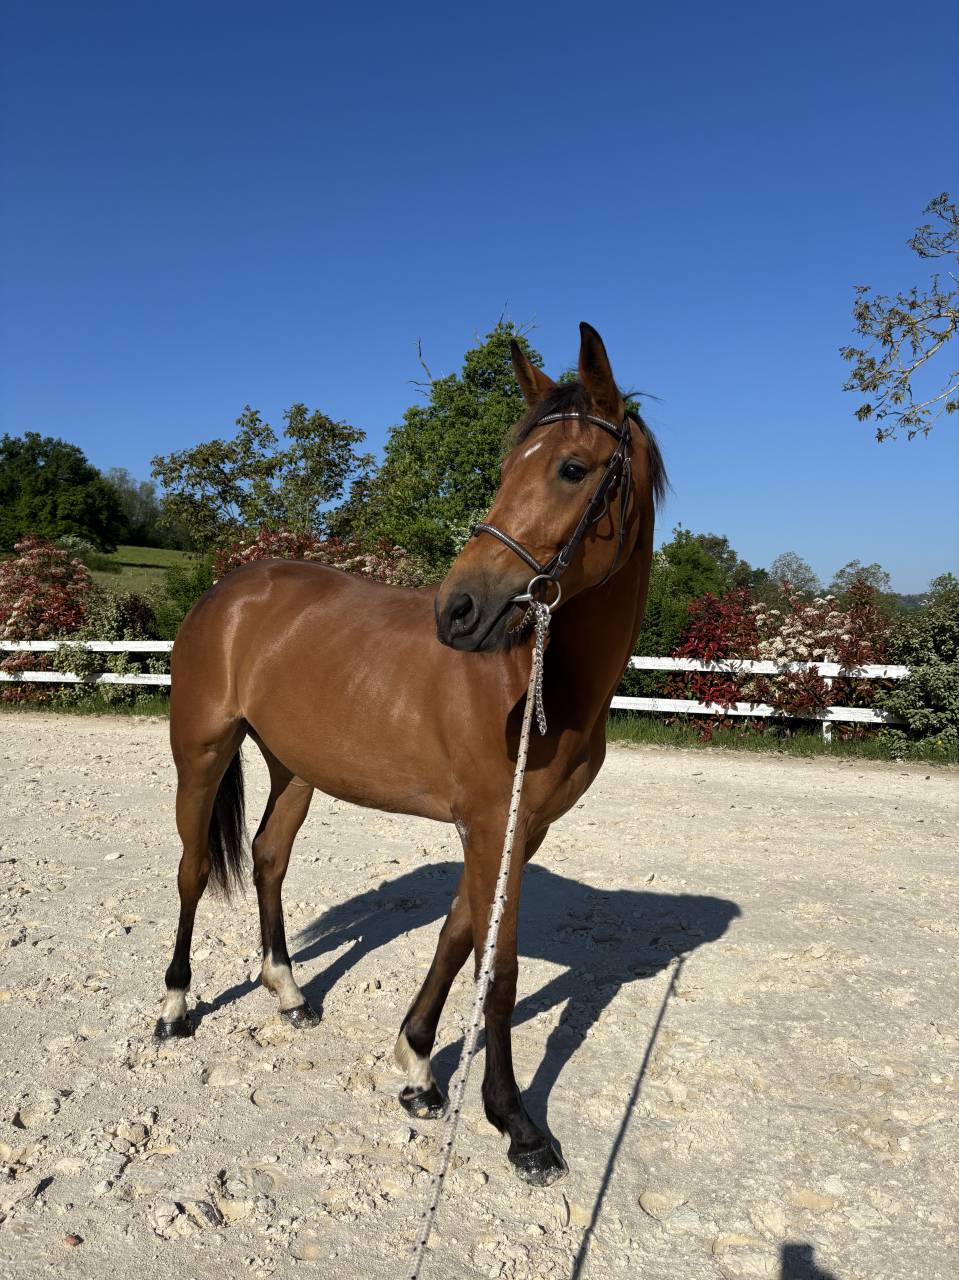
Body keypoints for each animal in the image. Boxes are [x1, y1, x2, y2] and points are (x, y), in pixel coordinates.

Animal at [156, 322, 667, 1186]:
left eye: (571, 467)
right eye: (505, 468)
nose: (458, 609)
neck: (537, 678)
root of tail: (230, 593)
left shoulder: (513, 830)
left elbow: (458, 936)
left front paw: (418, 1067)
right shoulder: (491, 827)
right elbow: (499, 969)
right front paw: (517, 1125)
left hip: (295, 769)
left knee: (267, 857)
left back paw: (287, 992)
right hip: (201, 751)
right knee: (194, 869)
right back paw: (175, 1006)